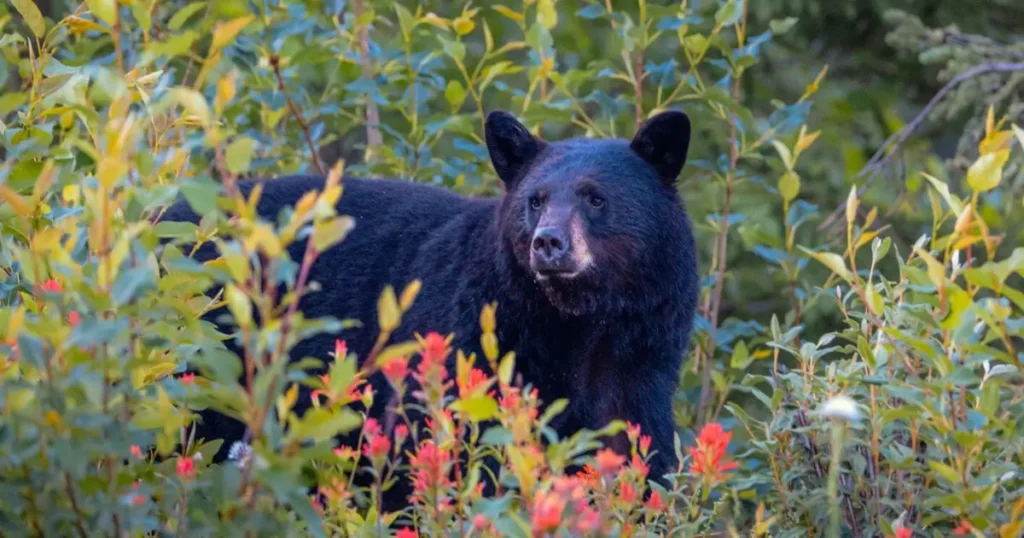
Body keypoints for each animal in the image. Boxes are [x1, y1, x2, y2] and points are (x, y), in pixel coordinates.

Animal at [159, 108, 700, 508]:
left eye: (596, 198)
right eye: (535, 199)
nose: (549, 243)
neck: (575, 328)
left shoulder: (638, 364)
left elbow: (637, 453)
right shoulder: (467, 344)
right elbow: (438, 447)